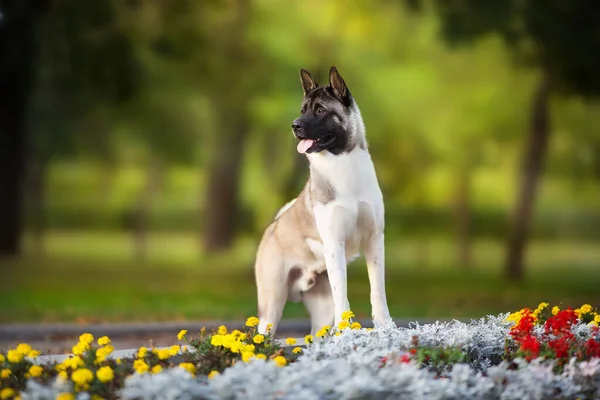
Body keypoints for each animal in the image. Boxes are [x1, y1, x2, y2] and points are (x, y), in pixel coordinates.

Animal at [254, 67, 392, 336]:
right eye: (302, 110)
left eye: (320, 110)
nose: (294, 125)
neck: (343, 164)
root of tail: (272, 228)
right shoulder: (335, 244)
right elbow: (343, 295)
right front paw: (346, 329)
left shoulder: (374, 241)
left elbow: (377, 291)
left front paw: (385, 326)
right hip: (271, 304)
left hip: (321, 309)